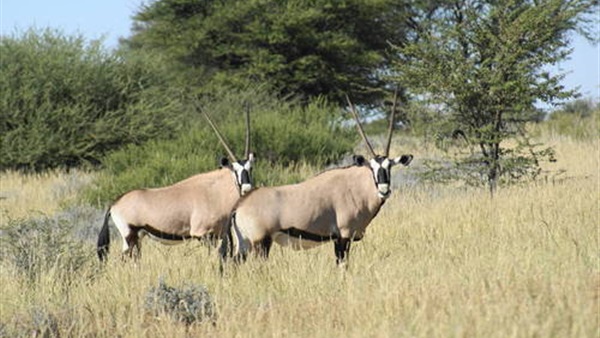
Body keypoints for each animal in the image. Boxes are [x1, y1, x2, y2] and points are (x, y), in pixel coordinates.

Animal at [95, 108, 253, 262]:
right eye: (235, 170)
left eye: (250, 168)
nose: (247, 189)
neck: (215, 191)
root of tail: (114, 204)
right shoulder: (203, 235)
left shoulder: (220, 234)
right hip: (129, 237)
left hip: (138, 238)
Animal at [220, 93, 412, 266]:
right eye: (372, 168)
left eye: (389, 166)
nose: (384, 190)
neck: (356, 187)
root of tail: (239, 206)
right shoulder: (343, 236)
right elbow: (342, 266)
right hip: (261, 243)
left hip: (245, 244)